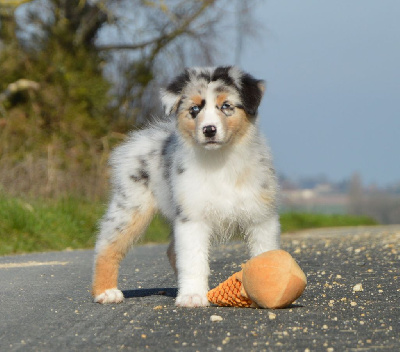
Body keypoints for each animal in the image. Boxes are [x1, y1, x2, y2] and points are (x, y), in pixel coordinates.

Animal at [92, 65, 280, 306]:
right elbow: (193, 260)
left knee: (172, 252)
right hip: (130, 207)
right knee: (107, 245)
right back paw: (105, 292)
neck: (219, 161)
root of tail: (138, 140)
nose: (209, 130)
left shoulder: (260, 216)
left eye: (226, 106)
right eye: (195, 109)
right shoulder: (193, 217)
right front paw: (192, 296)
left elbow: (264, 253)